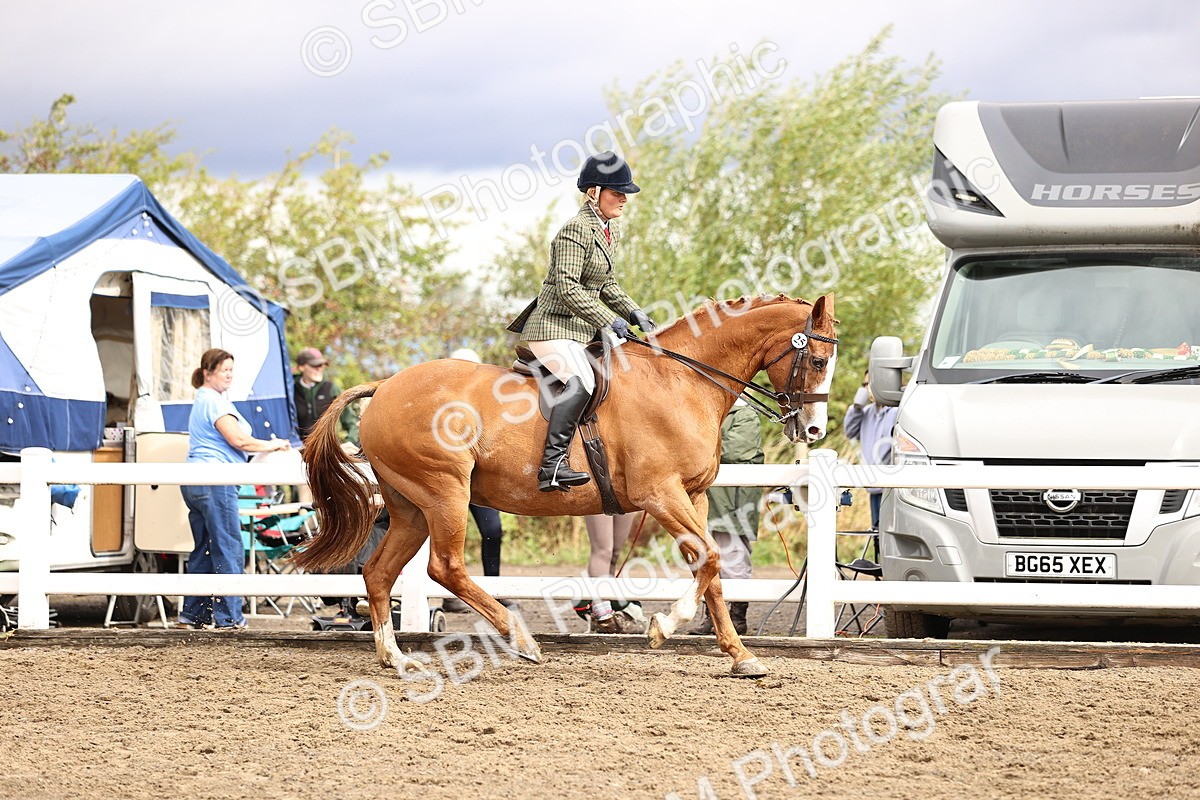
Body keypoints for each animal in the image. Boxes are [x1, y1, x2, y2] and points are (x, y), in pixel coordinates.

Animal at [293, 293, 838, 677]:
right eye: (816, 361)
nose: (813, 431)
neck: (680, 382)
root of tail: (384, 386)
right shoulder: (660, 494)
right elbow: (710, 558)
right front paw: (663, 627)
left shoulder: (695, 497)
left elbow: (713, 570)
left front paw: (740, 656)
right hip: (445, 493)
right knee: (444, 567)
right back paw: (521, 640)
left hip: (410, 507)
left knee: (380, 573)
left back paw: (396, 658)